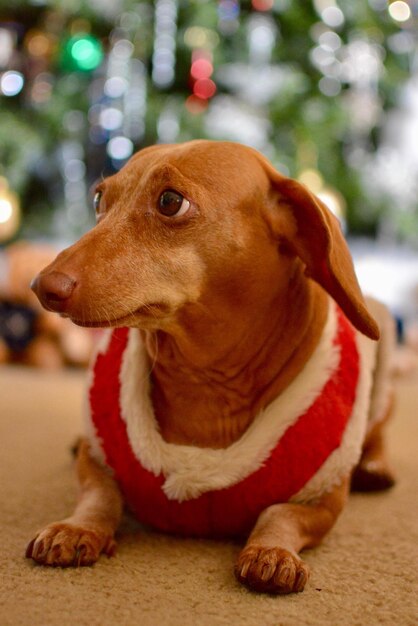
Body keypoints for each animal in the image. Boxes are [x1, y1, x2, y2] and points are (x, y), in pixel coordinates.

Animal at [28, 139, 396, 592]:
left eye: (170, 202)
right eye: (99, 199)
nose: (42, 286)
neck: (206, 380)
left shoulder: (323, 499)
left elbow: (281, 514)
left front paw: (271, 552)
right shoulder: (96, 459)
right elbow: (100, 496)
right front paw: (77, 528)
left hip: (383, 396)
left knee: (376, 435)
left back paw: (376, 466)